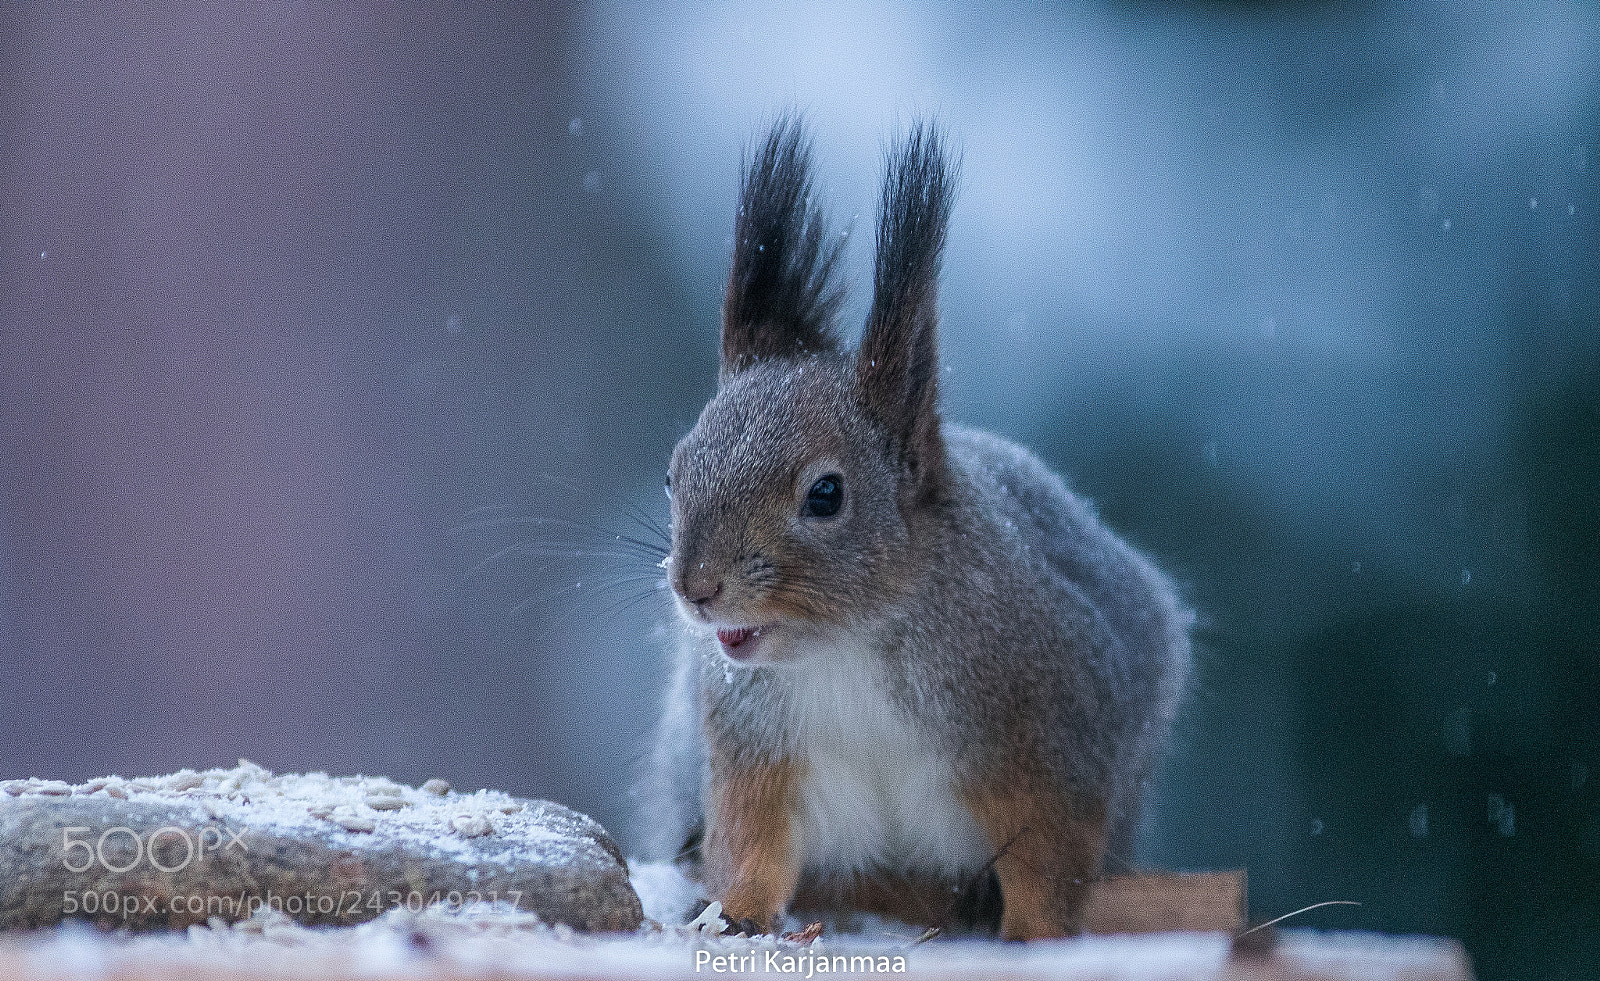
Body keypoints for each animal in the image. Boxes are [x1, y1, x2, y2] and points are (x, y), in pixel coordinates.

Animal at [640, 115, 1192, 941]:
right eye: (674, 473)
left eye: (826, 494)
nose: (696, 588)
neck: (851, 646)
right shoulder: (754, 748)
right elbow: (751, 840)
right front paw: (733, 912)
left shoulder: (1050, 736)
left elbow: (1051, 858)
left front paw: (1034, 934)